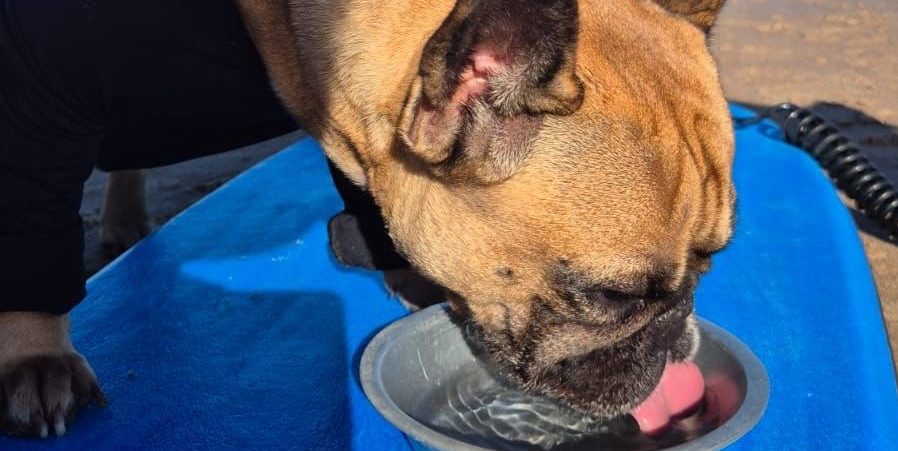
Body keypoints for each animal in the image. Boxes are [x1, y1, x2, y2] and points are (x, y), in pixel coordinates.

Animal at [0, 0, 734, 438]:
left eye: (711, 261)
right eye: (612, 296)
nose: (678, 328)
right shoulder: (40, 86)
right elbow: (26, 217)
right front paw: (36, 355)